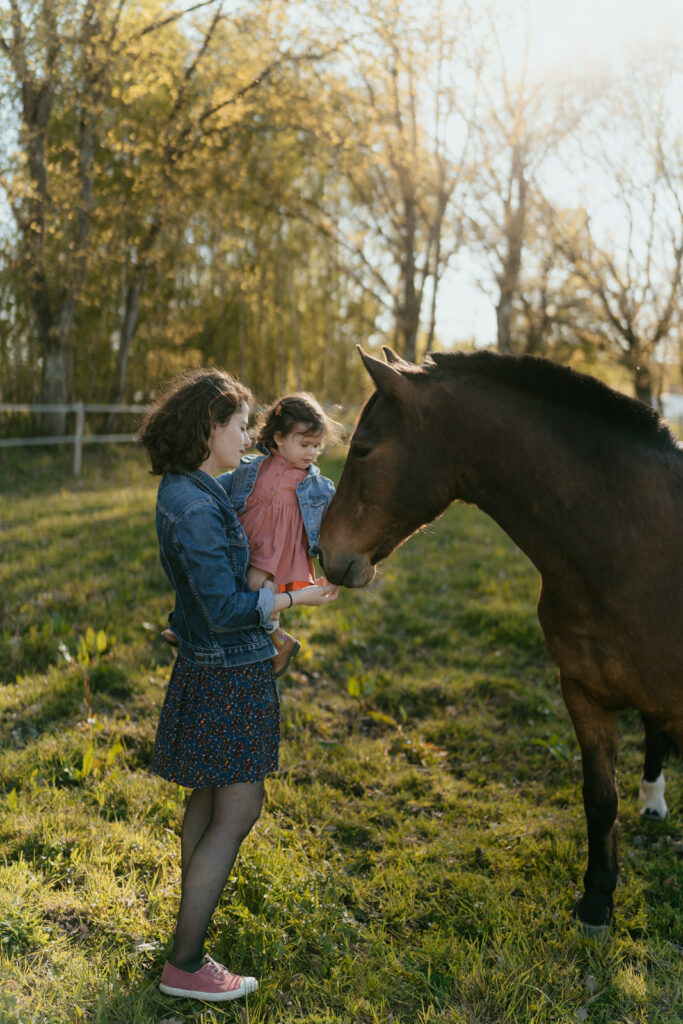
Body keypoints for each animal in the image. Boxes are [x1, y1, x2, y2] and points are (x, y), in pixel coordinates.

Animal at [321, 346, 683, 937]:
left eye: (362, 449)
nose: (324, 551)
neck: (634, 548)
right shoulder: (583, 694)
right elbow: (599, 800)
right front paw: (596, 902)